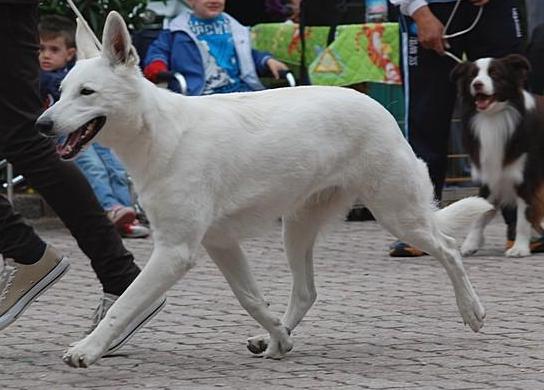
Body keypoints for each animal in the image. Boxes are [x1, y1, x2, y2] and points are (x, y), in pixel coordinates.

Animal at [37, 10, 492, 368]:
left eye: (87, 93)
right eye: (60, 92)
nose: (41, 125)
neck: (158, 134)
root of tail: (377, 105)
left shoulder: (175, 251)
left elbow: (124, 305)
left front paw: (88, 349)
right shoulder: (220, 243)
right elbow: (251, 298)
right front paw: (278, 335)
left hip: (397, 215)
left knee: (448, 249)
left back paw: (472, 310)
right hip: (297, 229)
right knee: (307, 292)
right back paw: (277, 338)